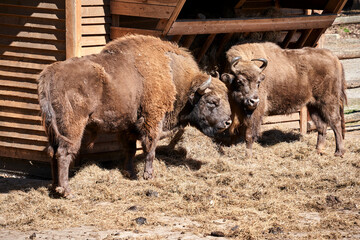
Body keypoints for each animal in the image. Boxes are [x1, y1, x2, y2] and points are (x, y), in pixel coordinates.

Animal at [38, 34, 232, 199]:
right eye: (212, 101)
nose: (227, 121)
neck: (173, 76)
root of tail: (49, 74)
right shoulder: (152, 120)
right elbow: (150, 149)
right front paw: (148, 176)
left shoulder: (129, 127)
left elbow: (130, 149)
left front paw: (129, 173)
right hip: (72, 127)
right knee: (63, 153)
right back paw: (67, 191)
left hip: (53, 129)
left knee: (52, 152)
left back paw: (55, 188)